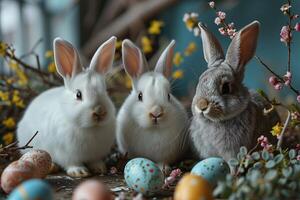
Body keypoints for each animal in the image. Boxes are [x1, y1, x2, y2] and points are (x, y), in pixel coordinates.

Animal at [16, 36, 117, 177]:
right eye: (78, 94)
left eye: (105, 91)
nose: (99, 111)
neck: (89, 128)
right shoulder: (66, 154)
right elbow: (72, 163)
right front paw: (79, 172)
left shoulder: (95, 154)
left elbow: (95, 161)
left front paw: (100, 168)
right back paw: (52, 166)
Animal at [116, 39, 189, 167]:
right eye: (140, 96)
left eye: (169, 96)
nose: (156, 112)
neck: (153, 130)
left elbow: (162, 162)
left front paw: (164, 168)